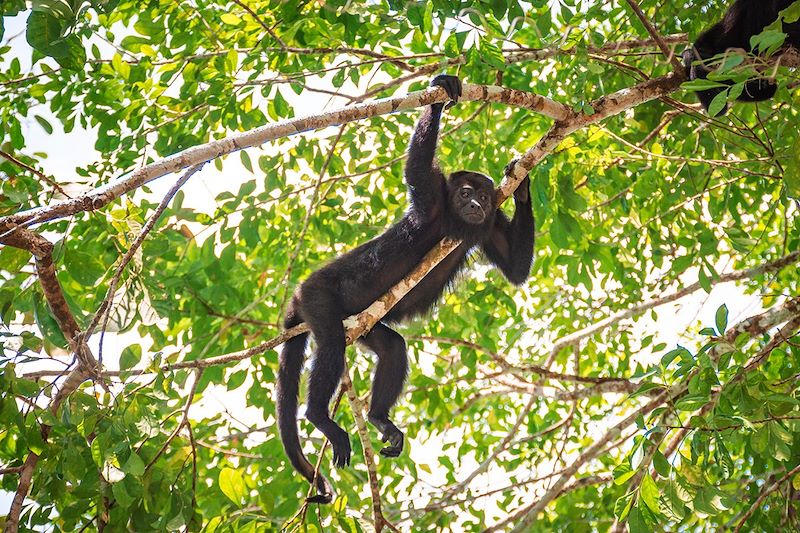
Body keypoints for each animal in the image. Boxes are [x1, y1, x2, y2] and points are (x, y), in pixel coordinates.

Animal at [278, 75, 536, 502]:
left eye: (484, 195)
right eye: (465, 193)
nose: (476, 205)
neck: (453, 217)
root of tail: (298, 294)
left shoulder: (491, 223)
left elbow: (516, 271)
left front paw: (523, 184)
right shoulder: (432, 197)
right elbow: (416, 168)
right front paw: (440, 94)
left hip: (363, 325)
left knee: (392, 347)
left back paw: (379, 419)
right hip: (317, 296)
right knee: (330, 343)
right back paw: (319, 417)